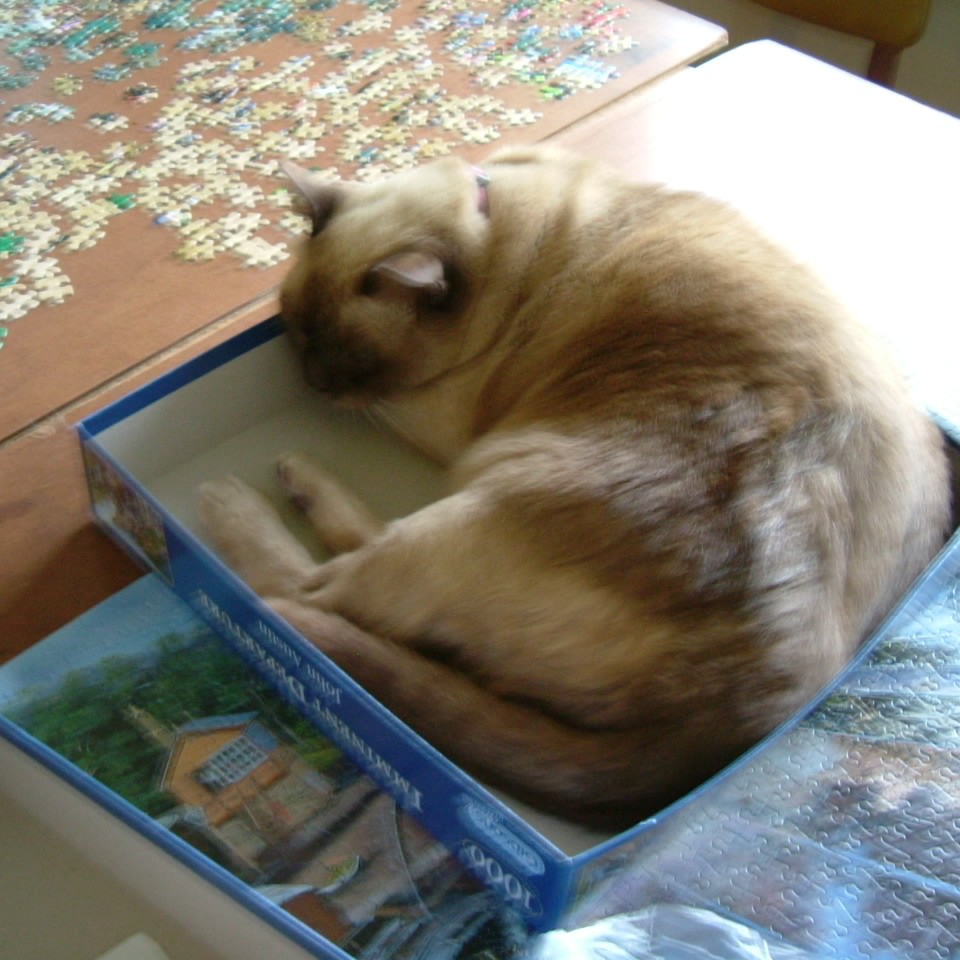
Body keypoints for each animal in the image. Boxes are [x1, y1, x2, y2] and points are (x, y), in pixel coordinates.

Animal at [197, 146, 950, 829]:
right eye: (296, 331)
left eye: (352, 360)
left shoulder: (431, 416)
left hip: (486, 485)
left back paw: (243, 493)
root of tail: (768, 702)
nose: (311, 383)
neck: (502, 223)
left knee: (299, 595)